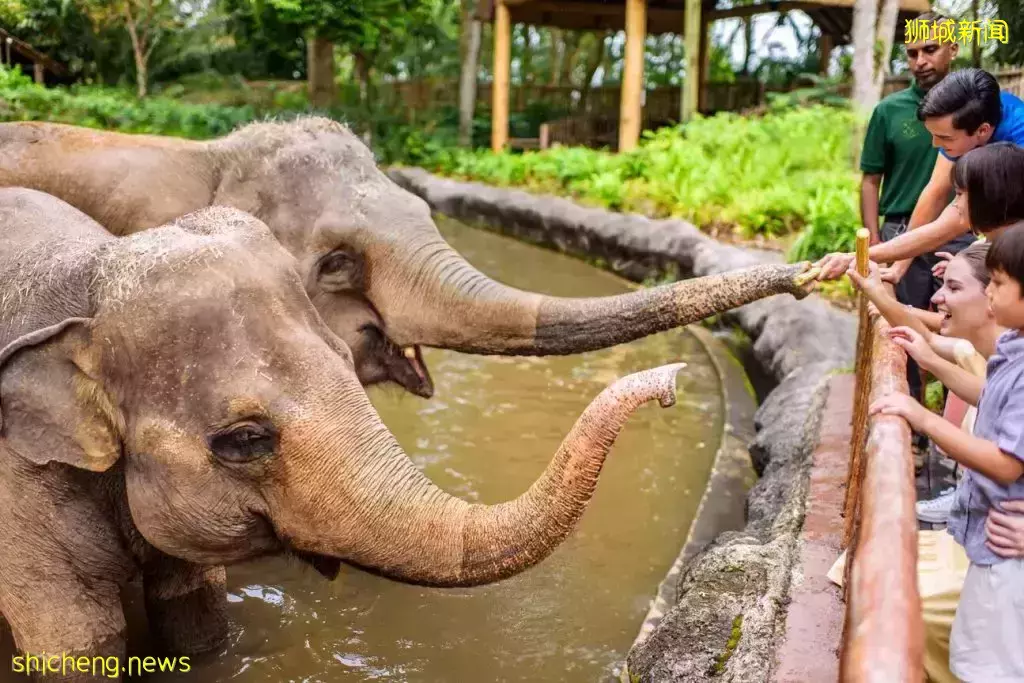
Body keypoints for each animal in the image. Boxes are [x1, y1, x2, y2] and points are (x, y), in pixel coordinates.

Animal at [2, 185, 688, 679]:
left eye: (343, 355)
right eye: (244, 439)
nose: (671, 381)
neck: (91, 279)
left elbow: (196, 613)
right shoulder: (20, 495)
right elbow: (78, 639)